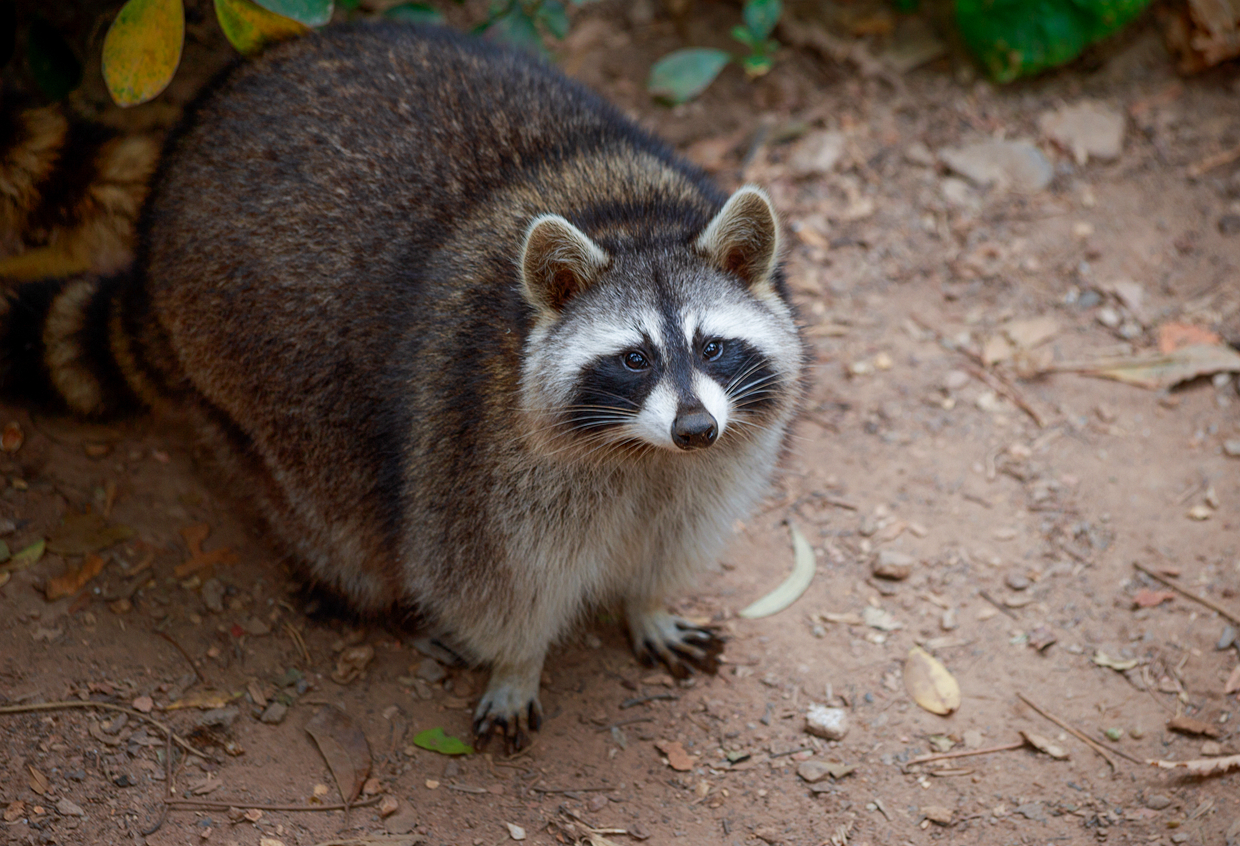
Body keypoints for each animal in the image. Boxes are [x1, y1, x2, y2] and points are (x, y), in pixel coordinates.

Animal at [0, 22, 806, 748]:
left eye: (711, 347)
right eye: (635, 359)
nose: (695, 429)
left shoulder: (711, 464)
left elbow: (672, 538)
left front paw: (647, 603)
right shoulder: (471, 450)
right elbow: (490, 584)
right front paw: (516, 663)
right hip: (234, 368)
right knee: (329, 518)